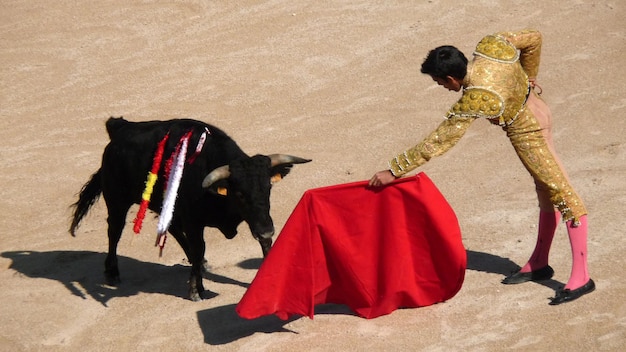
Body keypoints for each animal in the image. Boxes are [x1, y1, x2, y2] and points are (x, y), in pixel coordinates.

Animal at [70, 117, 310, 300]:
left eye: (268, 188)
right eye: (240, 194)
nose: (267, 229)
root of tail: (119, 127)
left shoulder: (257, 218)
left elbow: (264, 244)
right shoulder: (195, 222)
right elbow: (198, 247)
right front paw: (196, 289)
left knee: (172, 228)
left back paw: (201, 264)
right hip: (117, 200)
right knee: (114, 230)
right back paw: (112, 272)